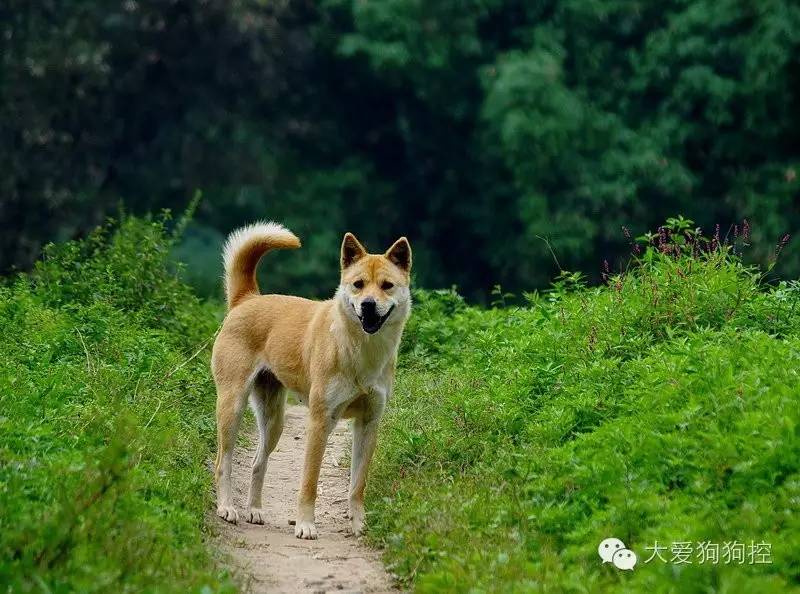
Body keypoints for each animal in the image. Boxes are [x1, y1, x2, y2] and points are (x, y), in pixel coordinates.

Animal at [212, 221, 412, 536]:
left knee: (258, 463)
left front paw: (359, 524)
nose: (368, 305)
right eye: (358, 284)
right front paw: (305, 525)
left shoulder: (368, 424)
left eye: (386, 286)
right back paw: (226, 508)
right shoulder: (320, 421)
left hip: (273, 421)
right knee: (223, 462)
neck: (360, 350)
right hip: (232, 407)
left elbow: (357, 485)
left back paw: (254, 510)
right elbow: (309, 482)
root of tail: (247, 299)